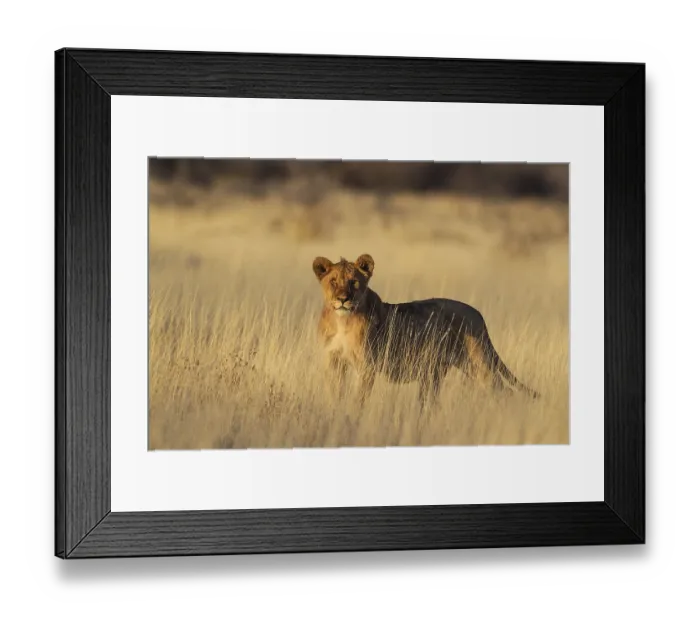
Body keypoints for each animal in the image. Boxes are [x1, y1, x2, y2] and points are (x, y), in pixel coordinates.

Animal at [312, 253, 539, 409]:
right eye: (333, 281)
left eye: (354, 282)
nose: (343, 299)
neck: (342, 321)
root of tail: (477, 314)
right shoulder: (332, 361)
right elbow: (335, 393)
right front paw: (335, 412)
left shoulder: (367, 365)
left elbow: (359, 398)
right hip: (441, 370)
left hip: (479, 361)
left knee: (502, 390)